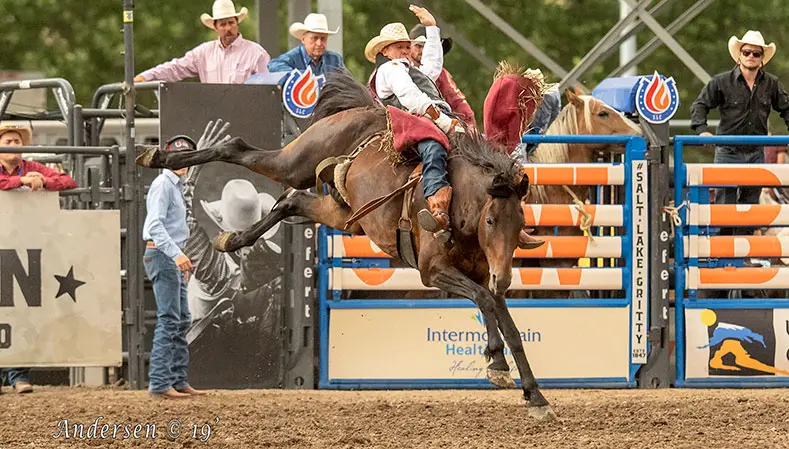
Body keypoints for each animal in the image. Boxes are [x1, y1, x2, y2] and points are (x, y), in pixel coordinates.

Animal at [135, 70, 556, 420]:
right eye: (491, 221)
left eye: (521, 224)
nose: (506, 277)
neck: (459, 203)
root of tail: (359, 110)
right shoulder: (432, 270)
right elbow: (485, 302)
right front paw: (498, 365)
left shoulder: (483, 274)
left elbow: (504, 318)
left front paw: (533, 394)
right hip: (298, 161)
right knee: (238, 148)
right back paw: (159, 156)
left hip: (340, 211)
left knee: (289, 201)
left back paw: (232, 238)